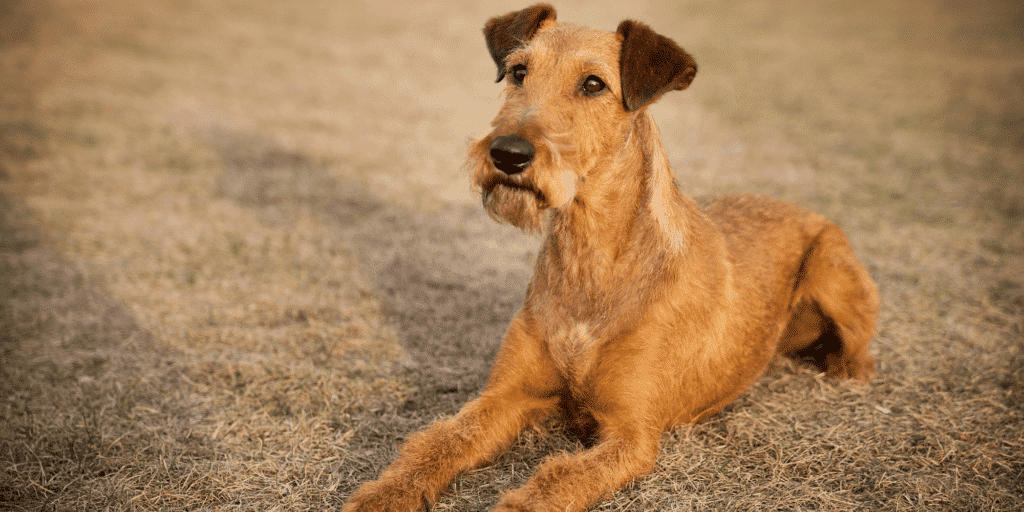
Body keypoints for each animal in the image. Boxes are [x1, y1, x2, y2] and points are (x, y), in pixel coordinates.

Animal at [339, 3, 876, 507]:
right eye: (518, 72)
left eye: (593, 84)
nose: (507, 154)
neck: (589, 257)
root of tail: (800, 206)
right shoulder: (505, 396)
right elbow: (436, 444)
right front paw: (382, 494)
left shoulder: (631, 436)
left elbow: (555, 484)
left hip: (834, 273)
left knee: (859, 354)